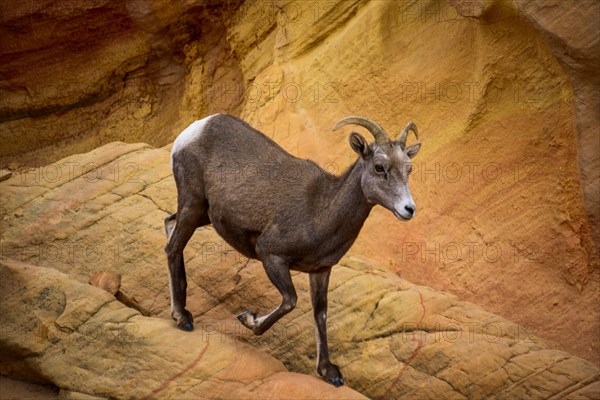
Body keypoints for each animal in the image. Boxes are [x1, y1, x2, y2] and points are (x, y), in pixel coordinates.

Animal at [162, 114, 420, 386]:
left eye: (409, 169)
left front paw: (329, 373)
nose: (408, 209)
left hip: (202, 213)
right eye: (379, 167)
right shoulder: (271, 255)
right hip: (192, 203)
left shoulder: (321, 270)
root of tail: (197, 128)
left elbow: (321, 315)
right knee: (172, 247)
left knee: (169, 224)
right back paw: (182, 317)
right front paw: (249, 319)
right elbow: (290, 301)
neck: (320, 210)